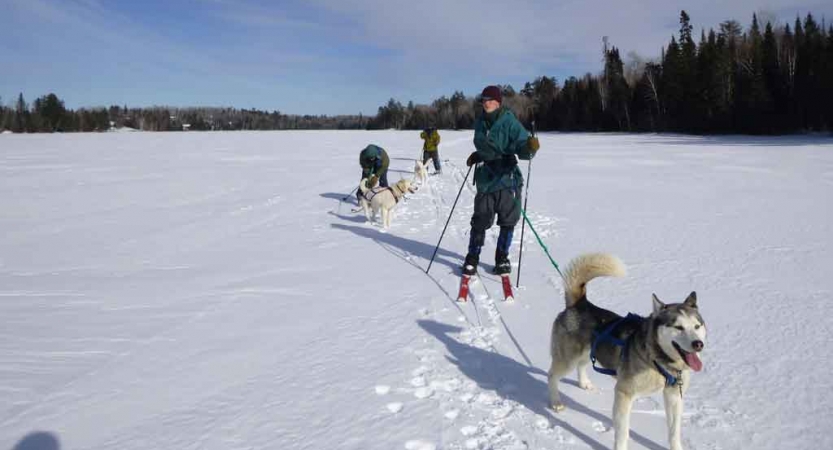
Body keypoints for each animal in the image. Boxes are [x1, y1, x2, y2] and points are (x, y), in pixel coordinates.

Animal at [548, 253, 704, 450]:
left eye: (697, 326)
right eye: (678, 327)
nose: (698, 344)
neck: (657, 361)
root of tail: (581, 303)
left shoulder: (674, 395)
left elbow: (674, 432)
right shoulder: (624, 394)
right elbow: (623, 432)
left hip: (588, 352)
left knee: (582, 365)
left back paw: (584, 384)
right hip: (567, 359)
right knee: (552, 375)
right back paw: (555, 402)